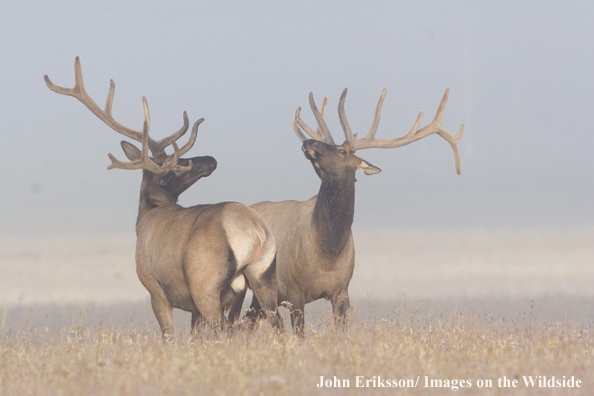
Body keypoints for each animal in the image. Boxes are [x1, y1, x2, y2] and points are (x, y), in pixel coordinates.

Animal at [44, 58, 280, 338]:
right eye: (178, 164)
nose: (211, 160)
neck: (147, 215)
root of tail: (255, 232)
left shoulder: (154, 289)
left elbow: (169, 335)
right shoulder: (193, 308)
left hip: (205, 283)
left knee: (222, 331)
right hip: (263, 277)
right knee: (275, 324)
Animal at [245, 87, 462, 338]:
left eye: (341, 150)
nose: (309, 140)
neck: (327, 252)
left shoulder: (342, 289)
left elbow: (341, 332)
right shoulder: (293, 289)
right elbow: (299, 335)